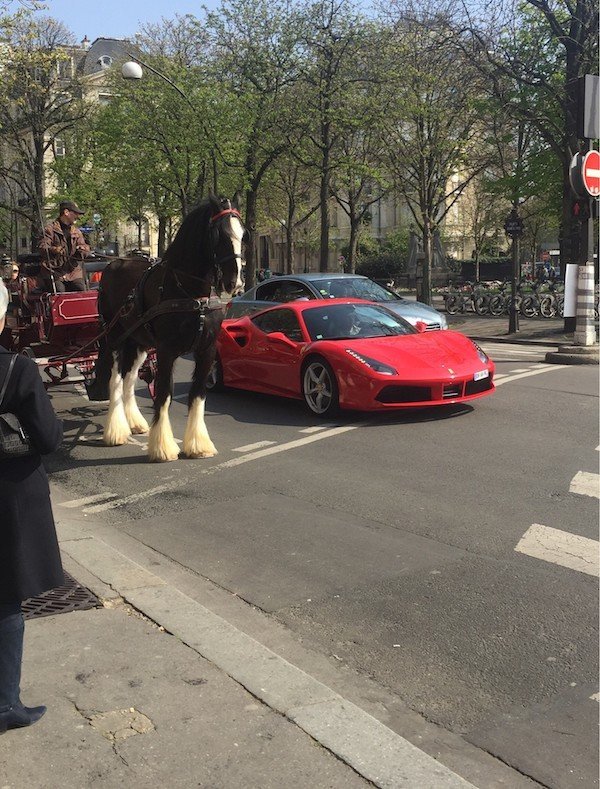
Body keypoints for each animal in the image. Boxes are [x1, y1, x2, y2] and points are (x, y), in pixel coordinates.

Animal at [88, 193, 246, 458]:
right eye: (219, 235)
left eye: (242, 234)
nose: (235, 283)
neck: (192, 294)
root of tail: (112, 265)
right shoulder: (166, 350)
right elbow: (163, 393)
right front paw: (162, 447)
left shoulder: (207, 350)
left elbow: (197, 394)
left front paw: (198, 444)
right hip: (114, 339)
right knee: (115, 379)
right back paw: (116, 430)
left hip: (138, 341)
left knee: (129, 377)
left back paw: (134, 422)